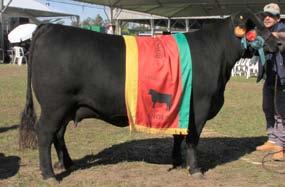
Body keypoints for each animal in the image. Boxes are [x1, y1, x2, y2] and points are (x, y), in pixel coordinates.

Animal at [19, 9, 280, 180]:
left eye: (267, 24)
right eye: (256, 27)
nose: (277, 44)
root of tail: (49, 27)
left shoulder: (181, 105)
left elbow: (178, 135)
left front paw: (177, 161)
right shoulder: (200, 106)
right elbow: (192, 139)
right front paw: (195, 170)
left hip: (66, 106)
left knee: (58, 134)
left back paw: (67, 163)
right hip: (55, 105)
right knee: (46, 133)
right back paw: (49, 175)